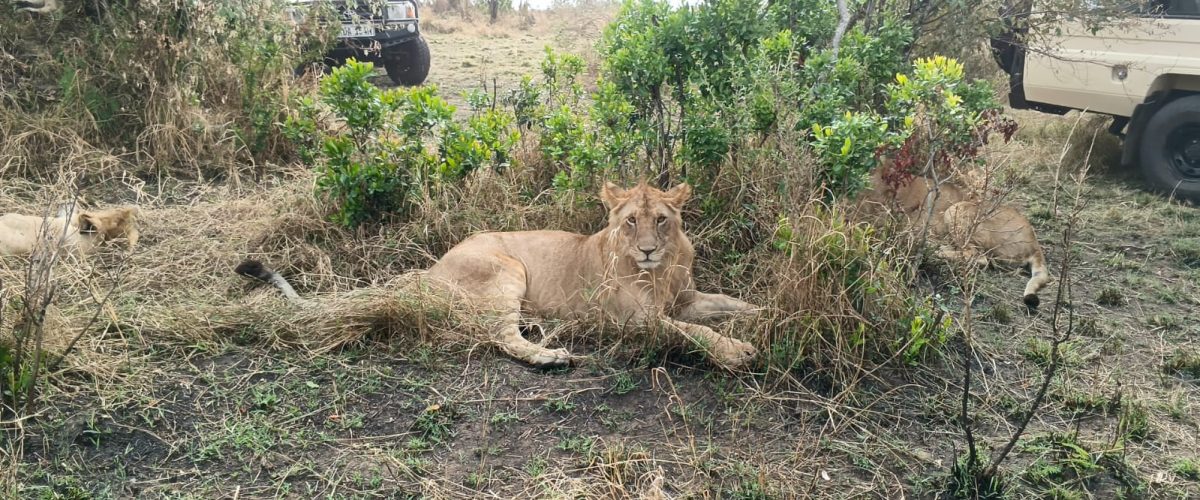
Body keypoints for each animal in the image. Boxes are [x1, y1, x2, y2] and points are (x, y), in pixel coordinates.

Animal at [236, 182, 760, 369]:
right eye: (631, 220)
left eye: (662, 220)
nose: (648, 249)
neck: (662, 270)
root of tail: (430, 270)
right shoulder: (636, 323)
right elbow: (692, 331)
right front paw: (737, 351)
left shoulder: (687, 297)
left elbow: (729, 303)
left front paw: (765, 314)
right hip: (507, 267)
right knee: (500, 336)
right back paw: (550, 356)